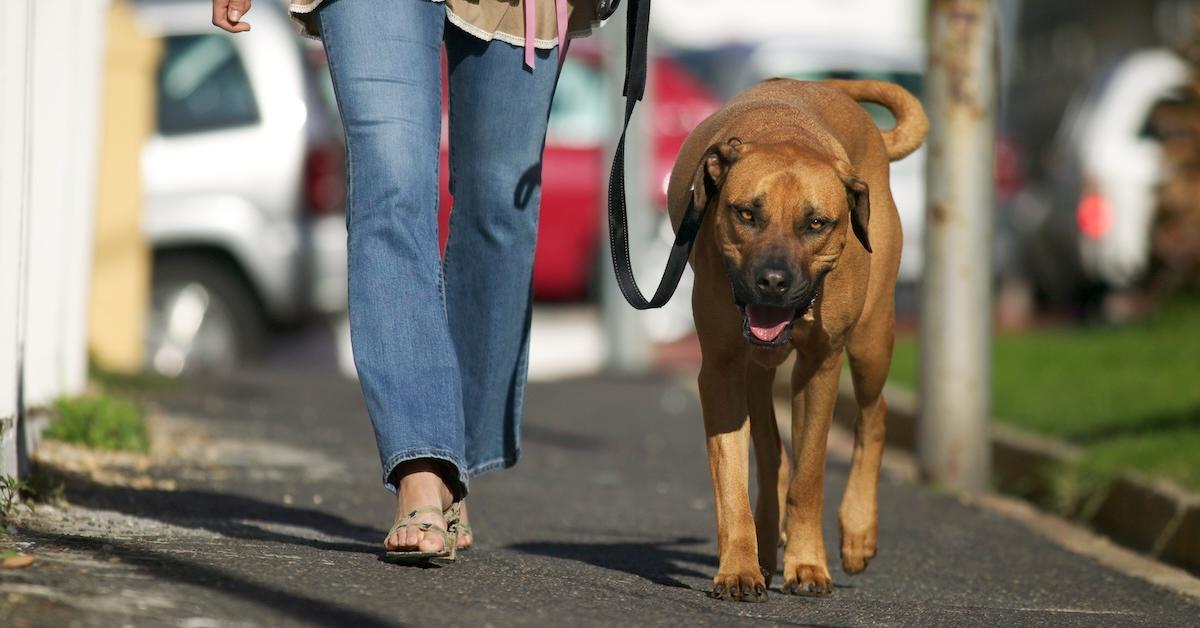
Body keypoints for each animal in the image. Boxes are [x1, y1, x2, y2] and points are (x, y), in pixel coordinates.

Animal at [667, 77, 926, 600]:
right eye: (746, 214)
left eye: (816, 223)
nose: (772, 281)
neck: (784, 133)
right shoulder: (721, 370)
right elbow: (733, 480)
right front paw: (739, 566)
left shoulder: (820, 366)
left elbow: (809, 474)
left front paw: (807, 563)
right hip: (756, 371)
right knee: (771, 455)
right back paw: (766, 550)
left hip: (871, 338)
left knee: (874, 415)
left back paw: (857, 531)